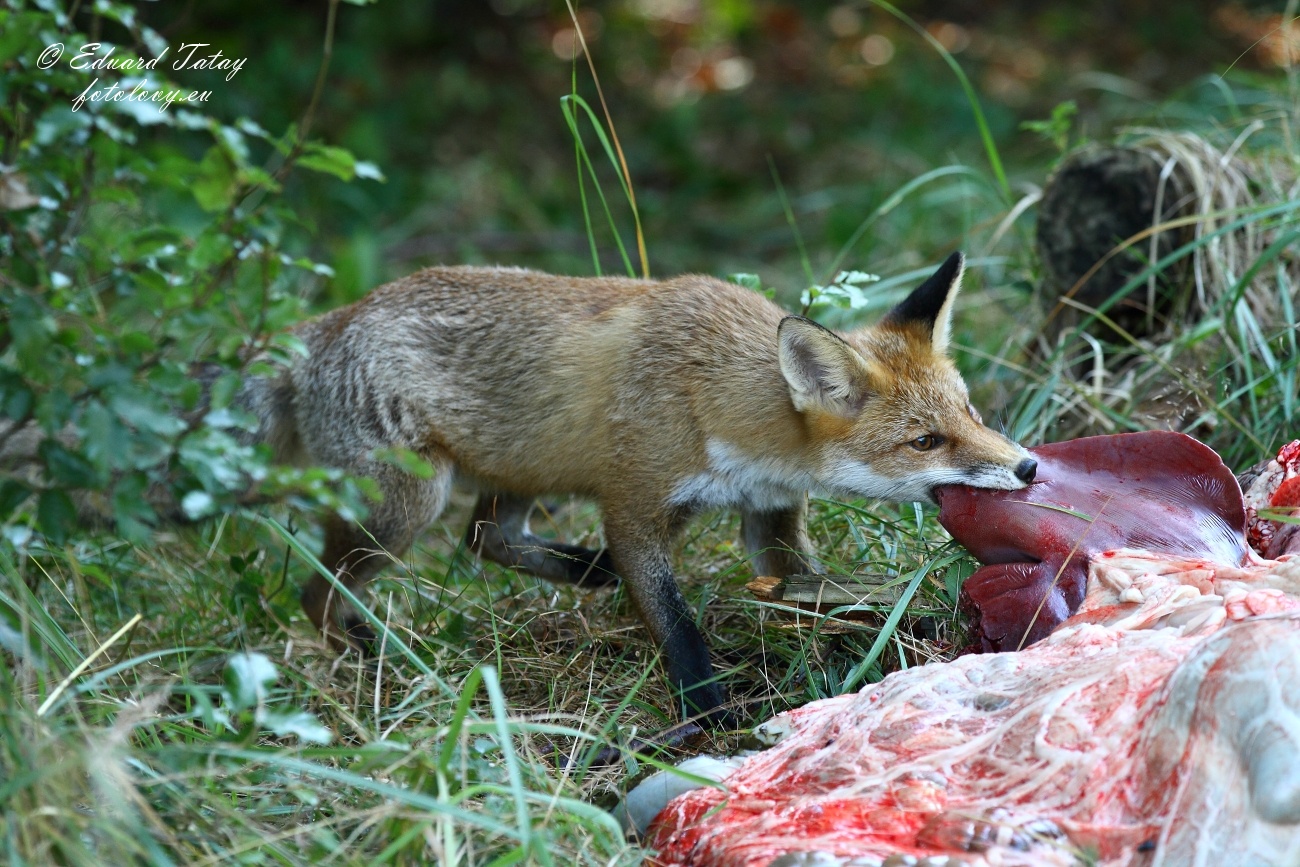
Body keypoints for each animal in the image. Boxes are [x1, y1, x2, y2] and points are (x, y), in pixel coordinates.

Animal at [244, 252, 1034, 727]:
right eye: (925, 442)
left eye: (970, 412)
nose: (1028, 467)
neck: (719, 398)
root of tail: (324, 326)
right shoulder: (633, 505)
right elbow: (677, 623)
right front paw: (709, 713)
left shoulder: (771, 526)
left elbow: (855, 600)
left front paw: (936, 630)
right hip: (410, 505)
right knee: (318, 593)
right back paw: (383, 663)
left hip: (522, 470)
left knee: (484, 536)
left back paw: (582, 571)